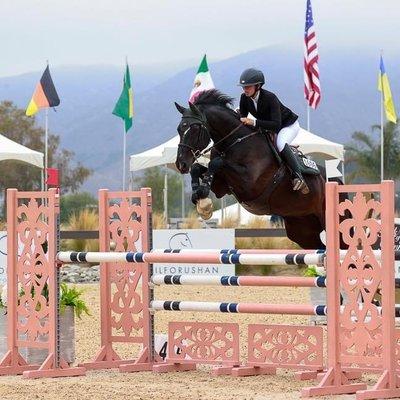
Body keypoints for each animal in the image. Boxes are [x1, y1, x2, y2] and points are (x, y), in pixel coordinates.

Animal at [175, 90, 328, 250]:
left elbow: (217, 162)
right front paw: (200, 200)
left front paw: (203, 196)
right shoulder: (222, 186)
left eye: (194, 129)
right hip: (302, 229)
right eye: (179, 129)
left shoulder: (249, 184)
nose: (181, 164)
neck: (236, 141)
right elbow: (198, 168)